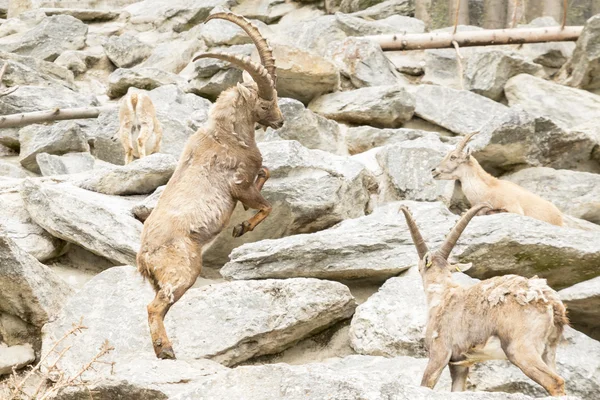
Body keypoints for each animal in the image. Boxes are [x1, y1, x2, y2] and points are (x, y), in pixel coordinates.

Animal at [137, 12, 284, 360]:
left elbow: (266, 172)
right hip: (183, 271)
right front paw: (242, 227)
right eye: (264, 103)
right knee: (155, 307)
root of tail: (144, 258)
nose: (281, 120)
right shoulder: (239, 184)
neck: (226, 136)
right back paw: (167, 350)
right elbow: (265, 203)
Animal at [398, 203, 568, 396]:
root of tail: (552, 303)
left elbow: (427, 384)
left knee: (555, 382)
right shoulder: (460, 364)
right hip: (549, 350)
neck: (443, 295)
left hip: (521, 349)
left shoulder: (439, 353)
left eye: (420, 268)